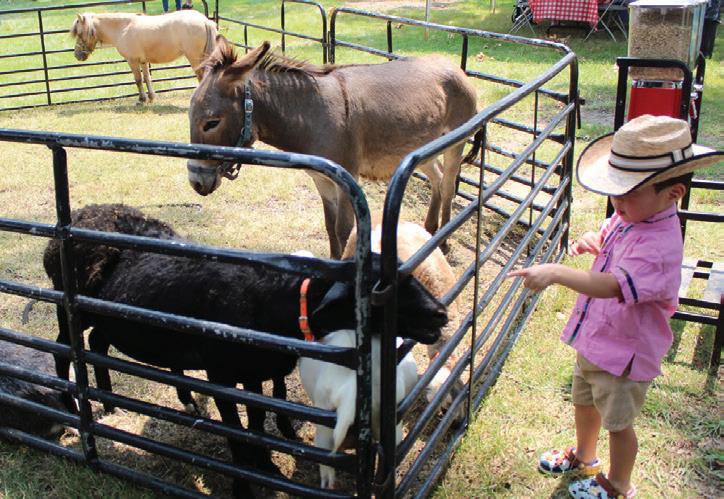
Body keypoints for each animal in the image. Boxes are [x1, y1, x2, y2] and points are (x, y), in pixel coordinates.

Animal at [70, 10, 217, 104]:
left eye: (80, 33)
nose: (77, 55)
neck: (122, 27)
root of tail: (205, 21)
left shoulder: (132, 61)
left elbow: (138, 80)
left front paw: (142, 100)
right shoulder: (144, 61)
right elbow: (147, 78)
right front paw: (151, 97)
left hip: (195, 59)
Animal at [187, 37, 480, 258]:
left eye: (212, 123)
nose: (196, 182)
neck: (312, 114)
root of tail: (455, 67)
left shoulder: (346, 180)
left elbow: (343, 229)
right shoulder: (321, 180)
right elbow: (329, 226)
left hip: (455, 144)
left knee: (448, 183)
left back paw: (444, 240)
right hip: (422, 147)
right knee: (438, 178)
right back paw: (430, 230)